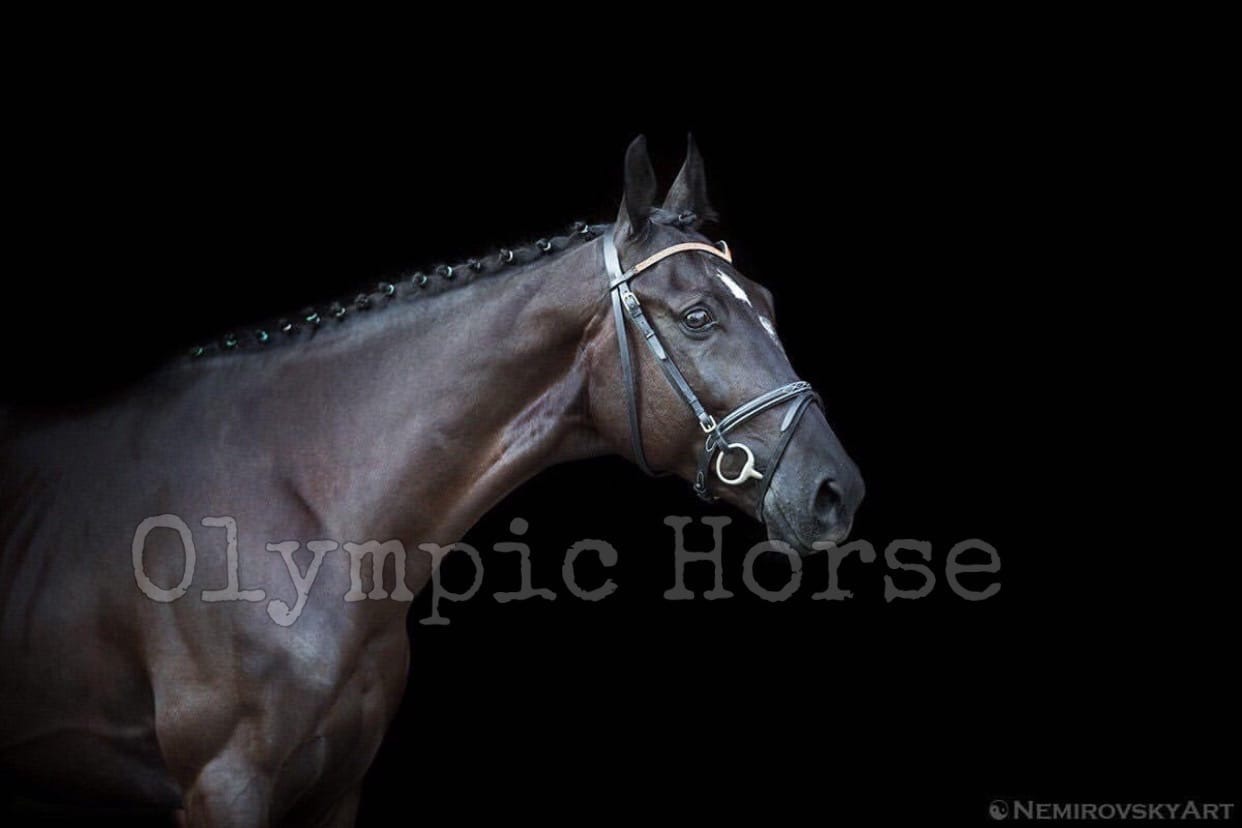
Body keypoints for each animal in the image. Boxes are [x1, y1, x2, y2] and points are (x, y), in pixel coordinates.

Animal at [0, 136, 863, 826]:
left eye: (768, 301)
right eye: (698, 318)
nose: (837, 491)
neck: (309, 515)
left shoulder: (336, 790)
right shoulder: (222, 787)